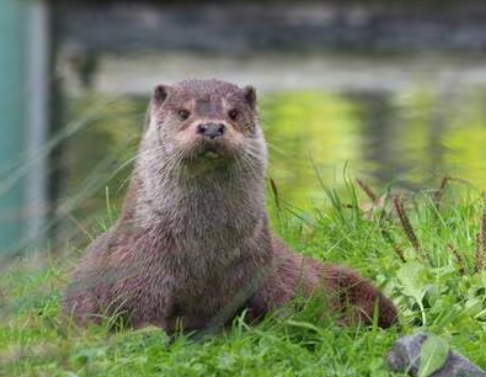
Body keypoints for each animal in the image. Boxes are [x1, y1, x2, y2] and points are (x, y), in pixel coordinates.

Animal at [61, 78, 398, 330]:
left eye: (233, 113)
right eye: (183, 113)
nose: (211, 127)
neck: (204, 250)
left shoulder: (263, 265)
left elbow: (291, 307)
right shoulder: (139, 270)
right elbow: (140, 318)